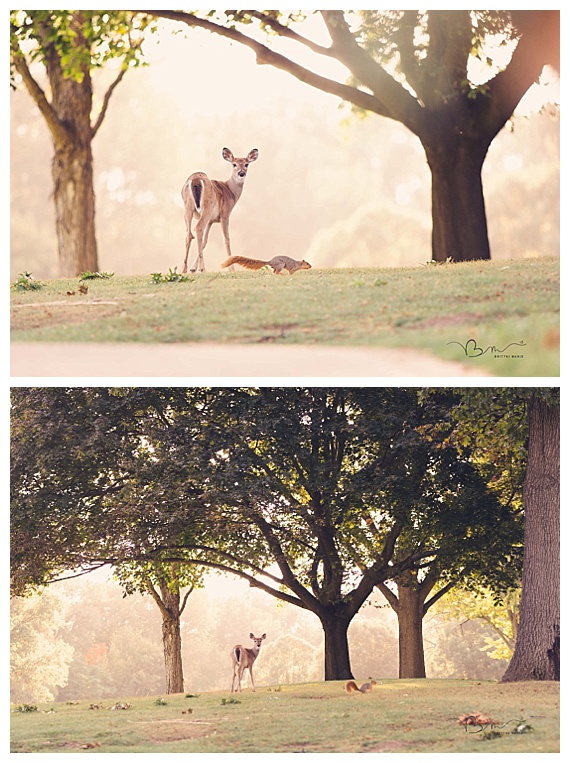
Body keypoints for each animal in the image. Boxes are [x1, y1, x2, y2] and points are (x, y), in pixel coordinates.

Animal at [180, 146, 258, 274]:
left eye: (246, 164)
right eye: (234, 164)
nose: (241, 173)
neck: (230, 191)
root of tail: (195, 179)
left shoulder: (211, 220)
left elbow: (205, 241)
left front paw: (193, 268)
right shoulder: (225, 213)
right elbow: (226, 239)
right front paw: (232, 268)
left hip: (188, 207)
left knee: (189, 234)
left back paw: (184, 269)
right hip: (207, 206)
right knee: (198, 228)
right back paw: (203, 268)